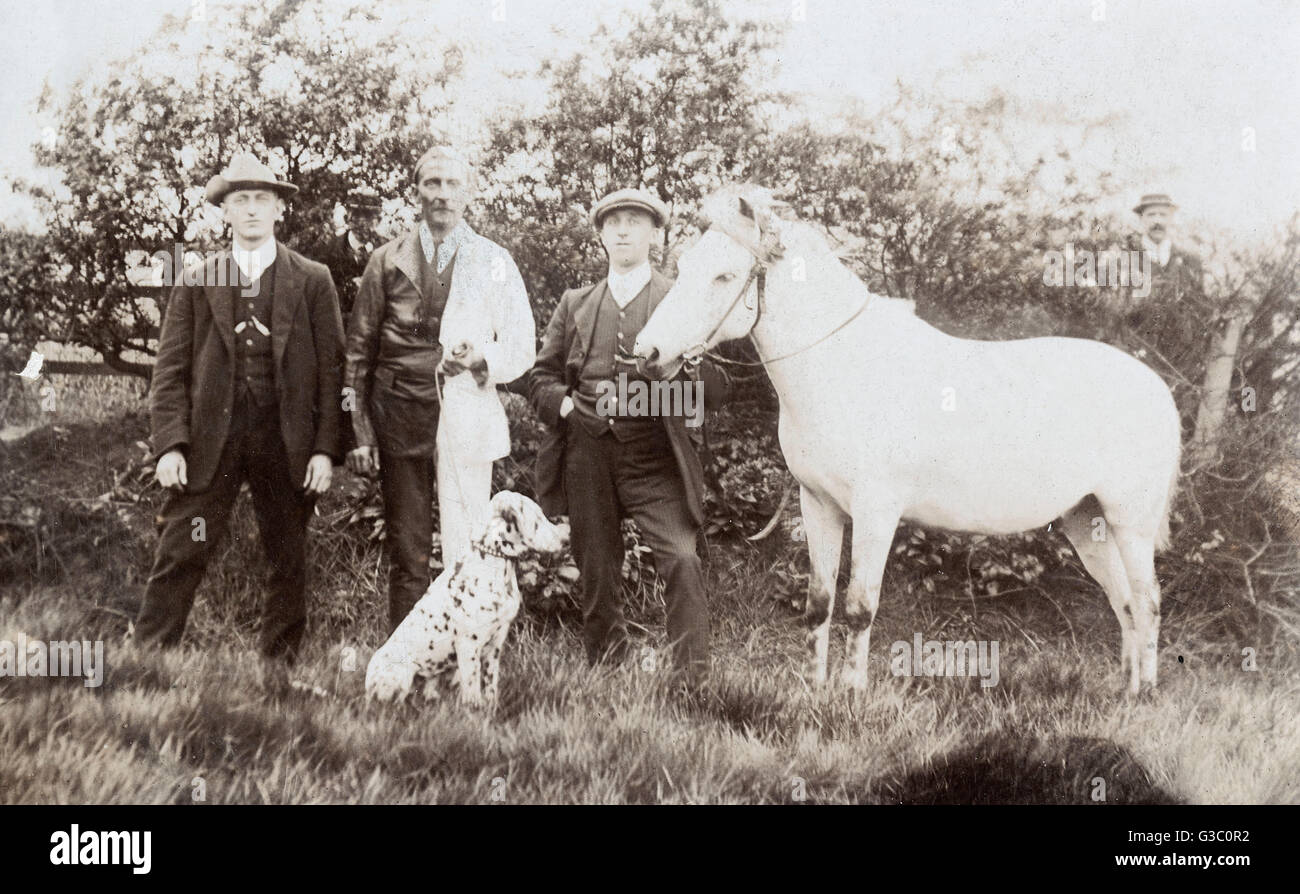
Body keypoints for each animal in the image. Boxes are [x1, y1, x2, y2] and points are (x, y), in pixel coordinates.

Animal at [369, 491, 566, 706]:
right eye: (537, 518)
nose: (566, 539)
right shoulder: (469, 644)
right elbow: (472, 689)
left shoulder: (495, 643)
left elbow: (490, 686)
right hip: (399, 675)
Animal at [634, 184, 1185, 696]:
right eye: (685, 266)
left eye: (724, 276)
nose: (647, 352)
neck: (843, 363)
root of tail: (1157, 388)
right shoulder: (818, 504)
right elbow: (819, 603)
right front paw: (814, 688)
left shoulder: (876, 511)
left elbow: (860, 605)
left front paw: (851, 694)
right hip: (1086, 521)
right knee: (1125, 601)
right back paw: (1124, 688)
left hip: (1129, 522)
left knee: (1148, 601)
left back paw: (1144, 695)